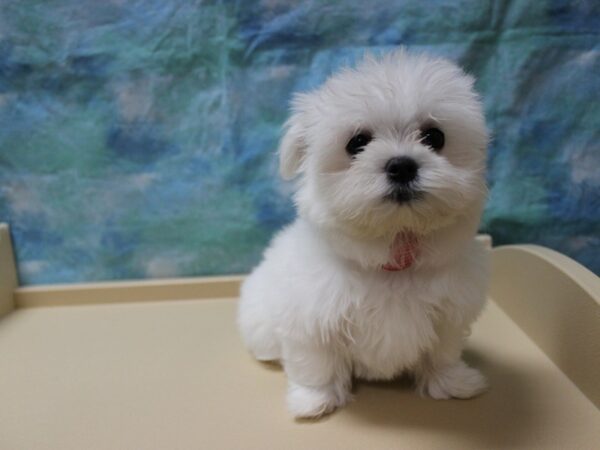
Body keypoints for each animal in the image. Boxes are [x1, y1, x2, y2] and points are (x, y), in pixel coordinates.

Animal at [237, 50, 490, 418]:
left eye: (434, 137)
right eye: (357, 143)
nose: (401, 165)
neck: (393, 253)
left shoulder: (449, 312)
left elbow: (443, 351)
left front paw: (452, 382)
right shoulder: (311, 319)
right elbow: (316, 361)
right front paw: (314, 400)